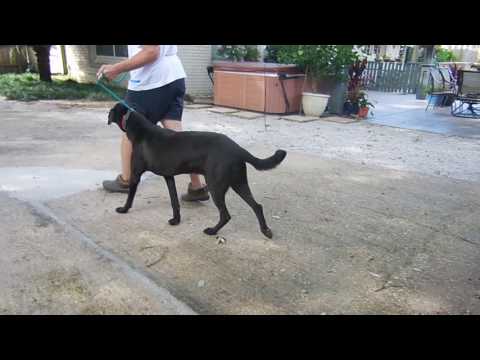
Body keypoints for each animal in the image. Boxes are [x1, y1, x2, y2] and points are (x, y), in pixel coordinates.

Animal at [107, 103, 286, 239]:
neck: (140, 130)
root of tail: (237, 148)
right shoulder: (169, 177)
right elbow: (174, 201)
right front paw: (176, 220)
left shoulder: (136, 174)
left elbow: (130, 196)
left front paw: (123, 209)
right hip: (239, 183)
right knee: (257, 206)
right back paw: (265, 230)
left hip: (216, 186)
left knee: (226, 214)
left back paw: (212, 231)